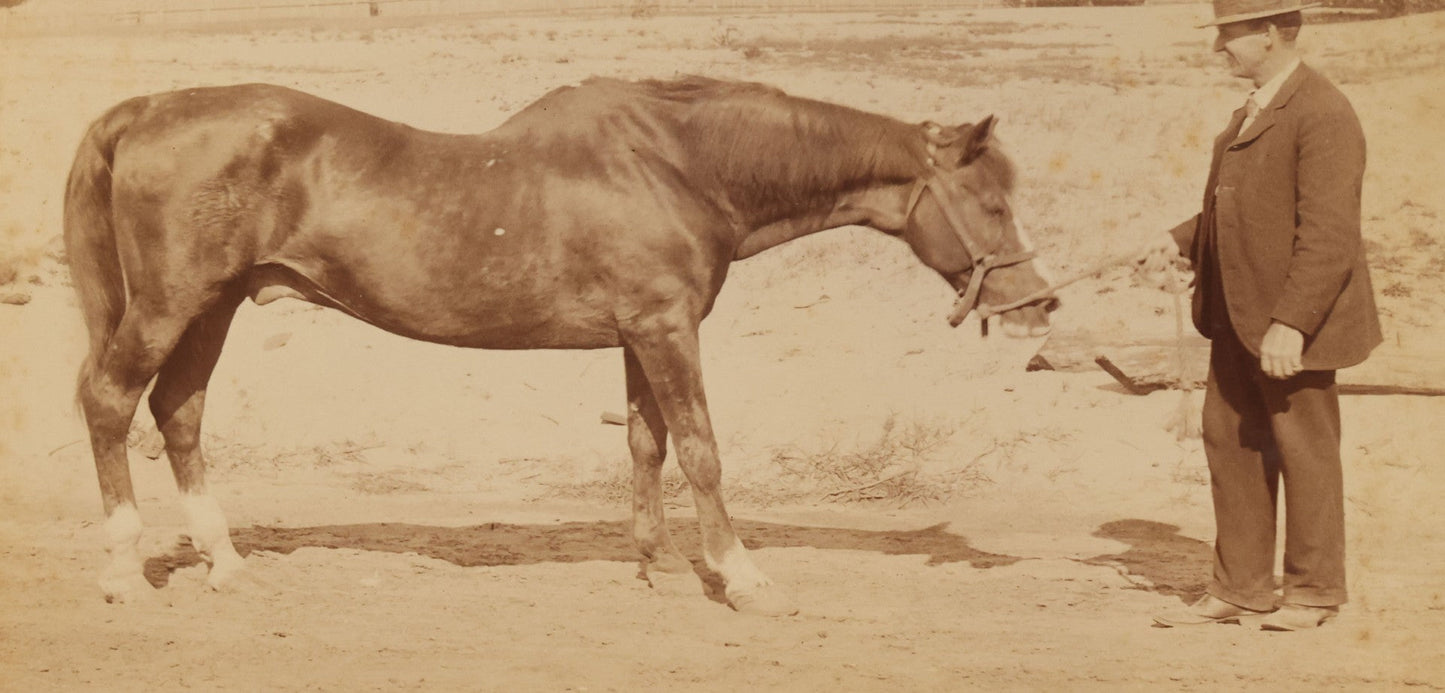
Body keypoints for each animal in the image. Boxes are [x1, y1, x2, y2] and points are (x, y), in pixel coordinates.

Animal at [64, 75, 1057, 615]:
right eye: (991, 202)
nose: (1037, 306)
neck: (678, 164)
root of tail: (143, 111)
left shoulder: (639, 333)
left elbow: (647, 445)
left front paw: (659, 568)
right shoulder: (665, 328)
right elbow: (700, 449)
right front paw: (741, 576)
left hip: (215, 307)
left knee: (178, 413)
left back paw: (225, 564)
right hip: (173, 304)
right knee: (111, 401)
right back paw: (119, 571)